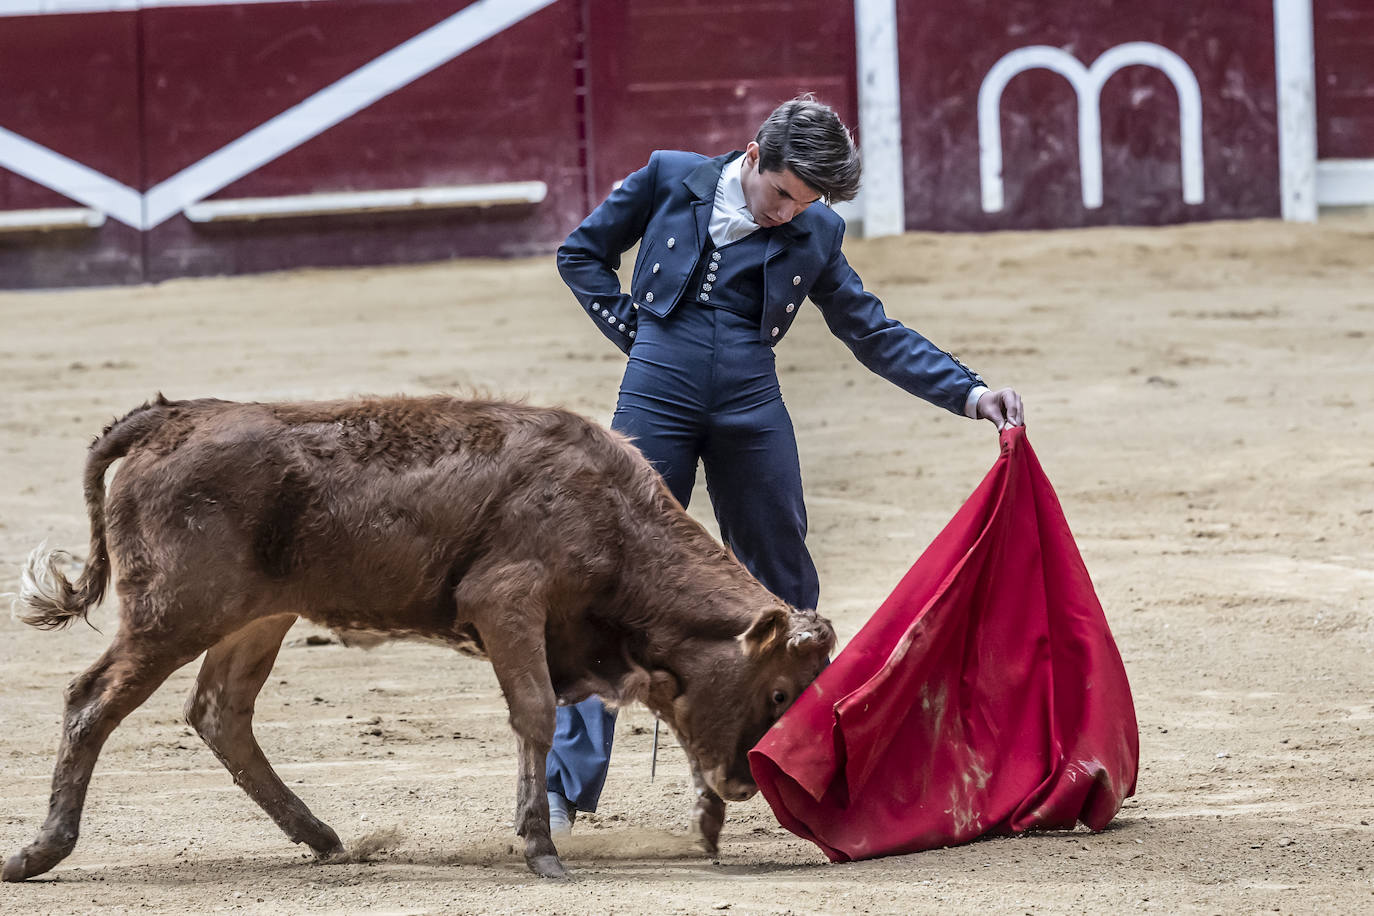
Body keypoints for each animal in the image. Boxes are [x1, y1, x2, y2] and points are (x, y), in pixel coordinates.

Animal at [5, 395, 835, 878]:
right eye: (780, 692)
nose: (746, 782)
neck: (613, 516)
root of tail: (173, 416)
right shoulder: (508, 604)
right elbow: (536, 713)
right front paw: (540, 846)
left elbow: (664, 711)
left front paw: (707, 820)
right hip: (173, 614)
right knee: (92, 700)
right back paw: (44, 849)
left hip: (256, 615)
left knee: (219, 712)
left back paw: (319, 836)